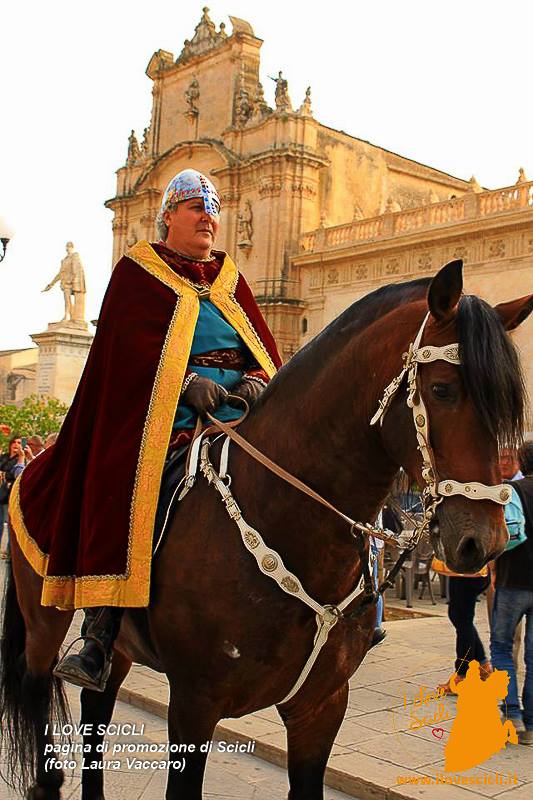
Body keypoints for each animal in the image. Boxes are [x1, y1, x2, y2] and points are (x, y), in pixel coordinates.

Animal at [1, 260, 532, 796]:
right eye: (443, 389)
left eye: (511, 405)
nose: (486, 542)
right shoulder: (193, 704)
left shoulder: (320, 707)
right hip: (43, 623)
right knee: (41, 690)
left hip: (124, 649)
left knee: (97, 708)